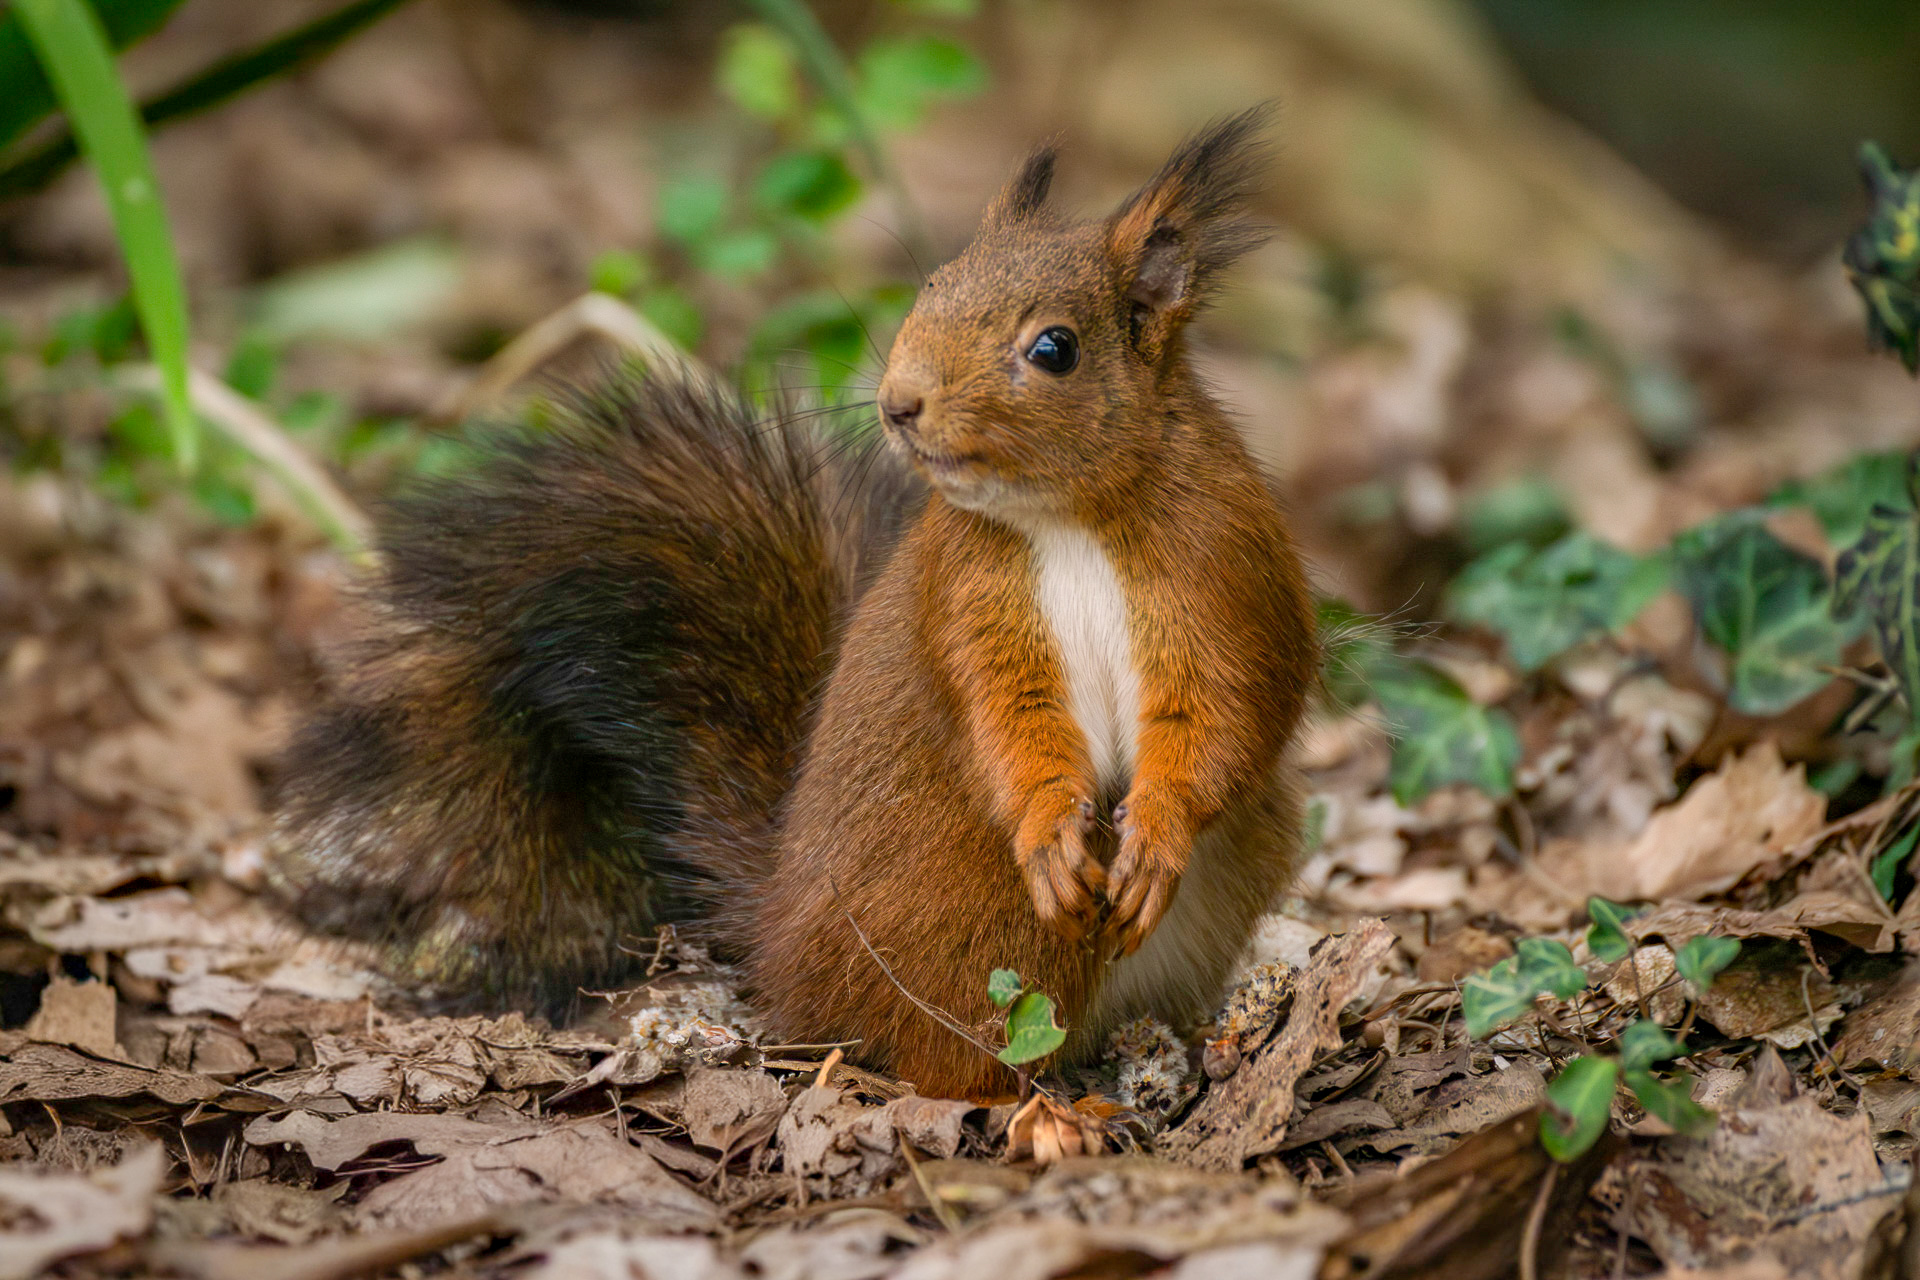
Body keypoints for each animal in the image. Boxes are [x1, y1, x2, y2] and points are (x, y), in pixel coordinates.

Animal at [267, 108, 1318, 1100]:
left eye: (1054, 348)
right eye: (929, 290)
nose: (898, 403)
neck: (1064, 517)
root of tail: (780, 943)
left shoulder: (1225, 572)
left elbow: (1223, 711)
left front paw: (1159, 836)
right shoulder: (966, 598)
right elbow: (1005, 717)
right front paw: (1052, 831)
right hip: (987, 920)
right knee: (949, 1058)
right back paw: (1053, 1110)